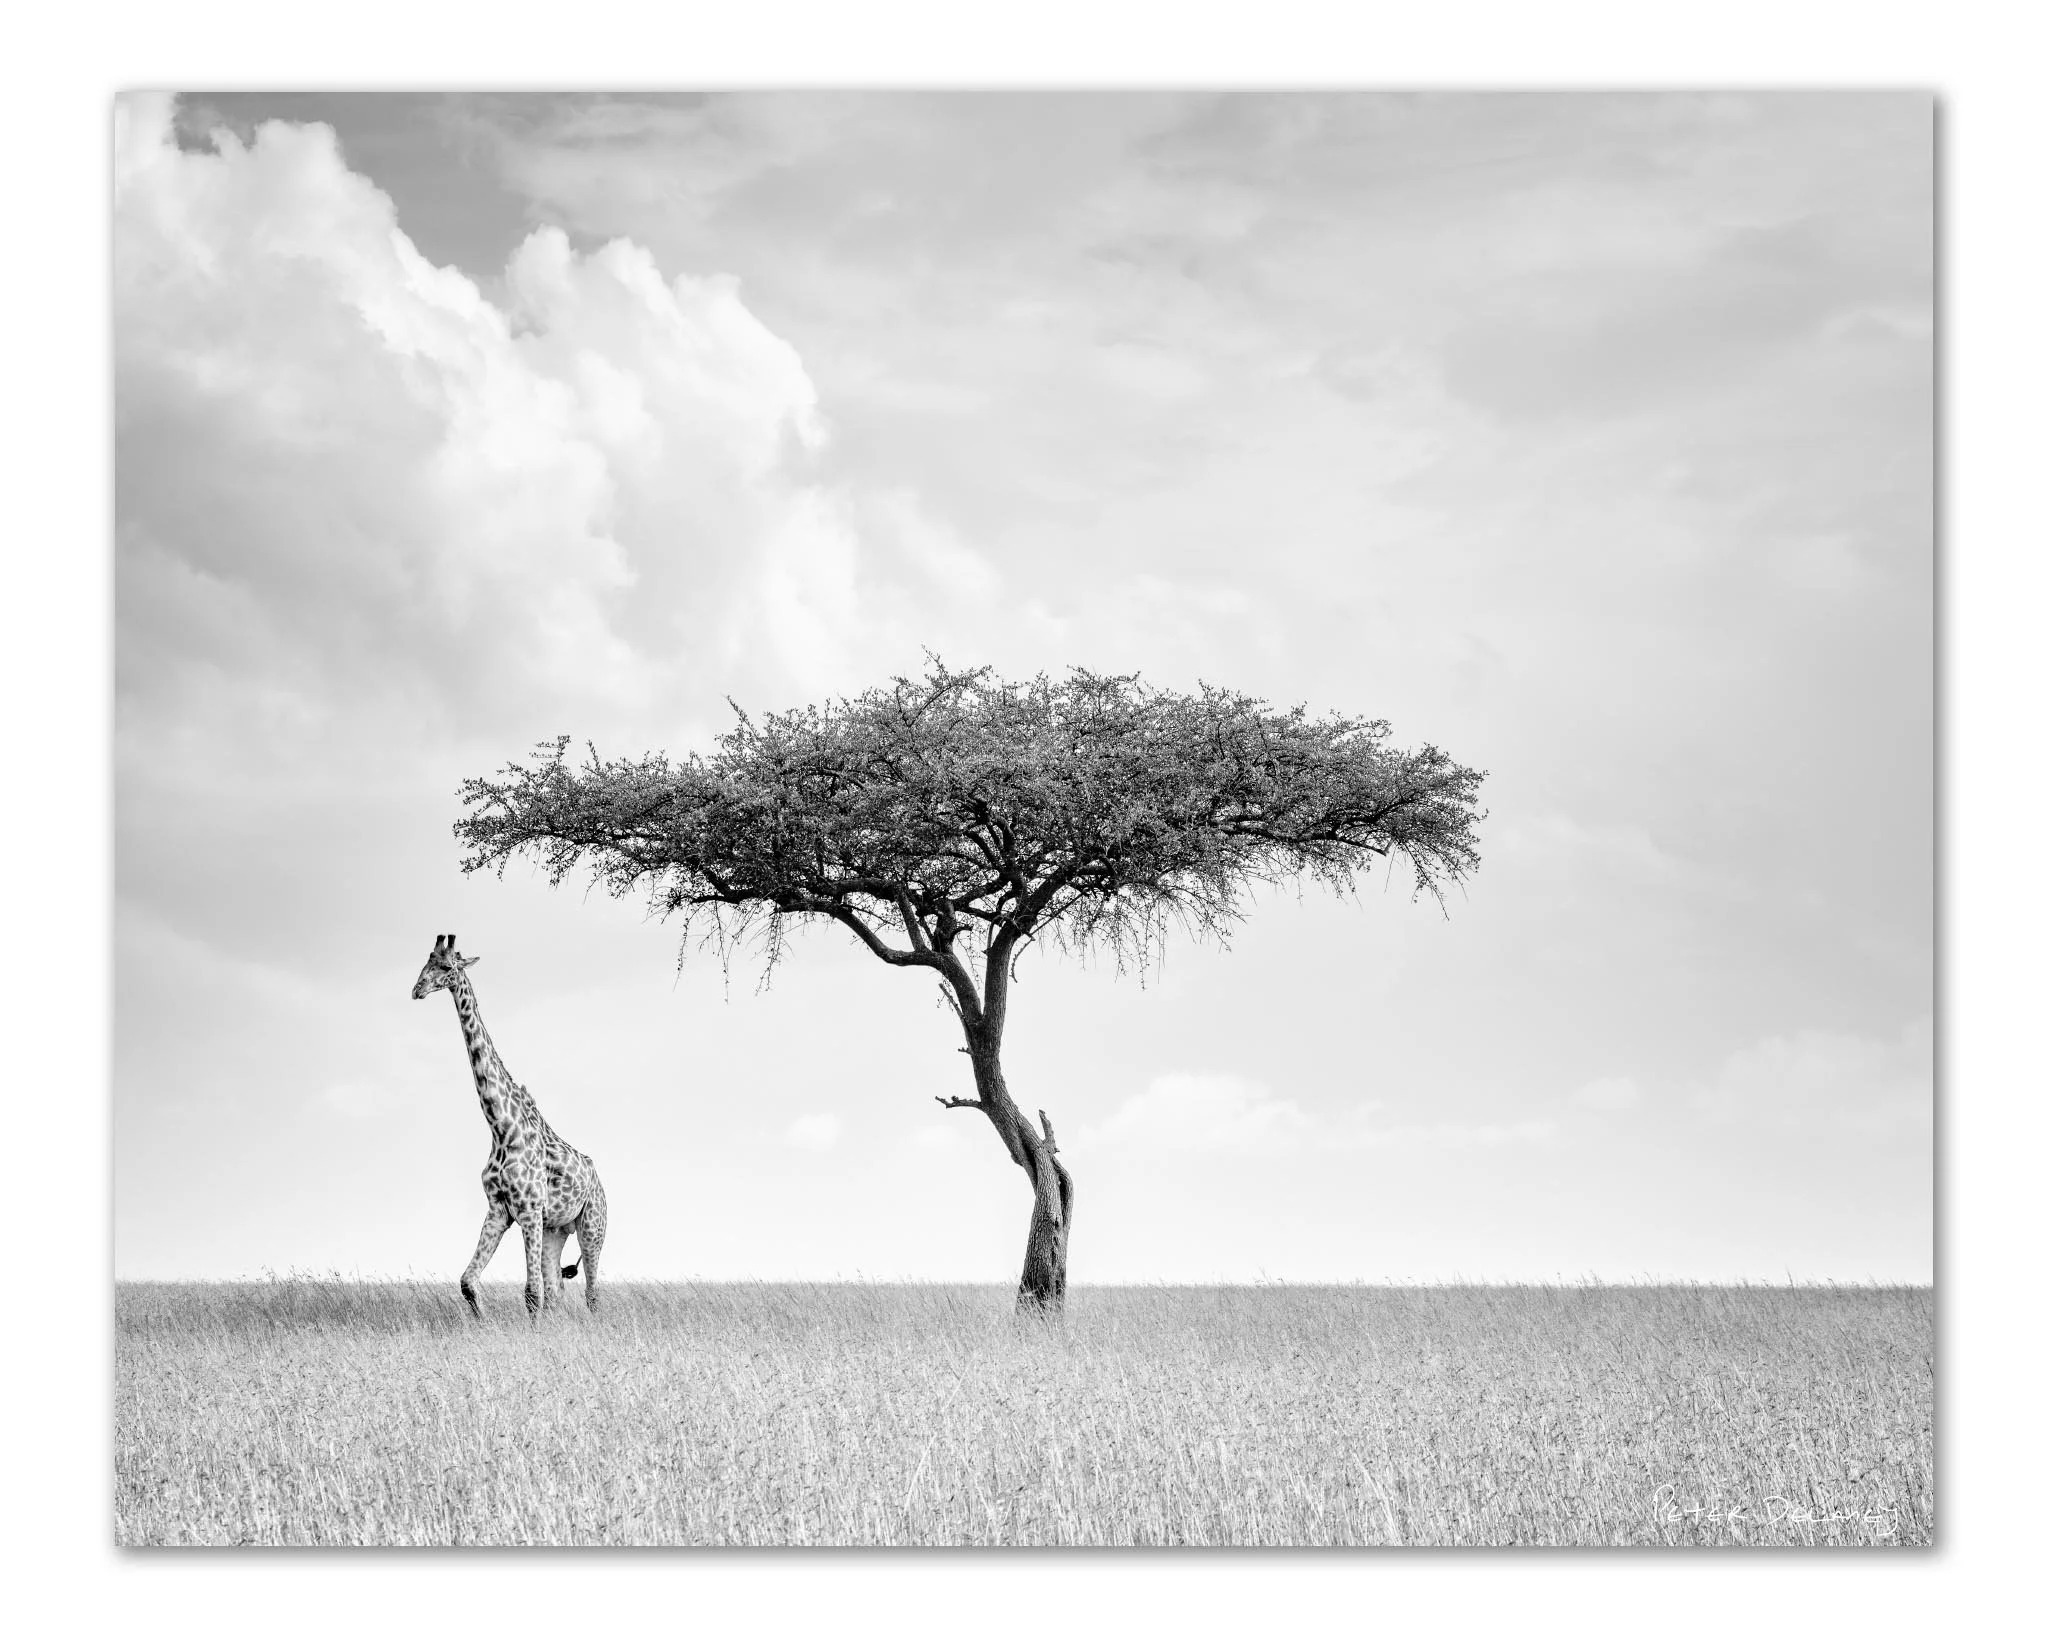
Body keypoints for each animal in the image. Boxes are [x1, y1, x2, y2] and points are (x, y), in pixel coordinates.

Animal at [410, 933, 607, 1319]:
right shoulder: (499, 1209)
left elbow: (531, 1292)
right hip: (556, 1230)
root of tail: (599, 1180)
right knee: (557, 1289)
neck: (501, 1127)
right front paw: (484, 1324)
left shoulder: (528, 1210)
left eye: (447, 966)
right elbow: (468, 1281)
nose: (417, 989)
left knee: (591, 1293)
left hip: (592, 1226)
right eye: (425, 962)